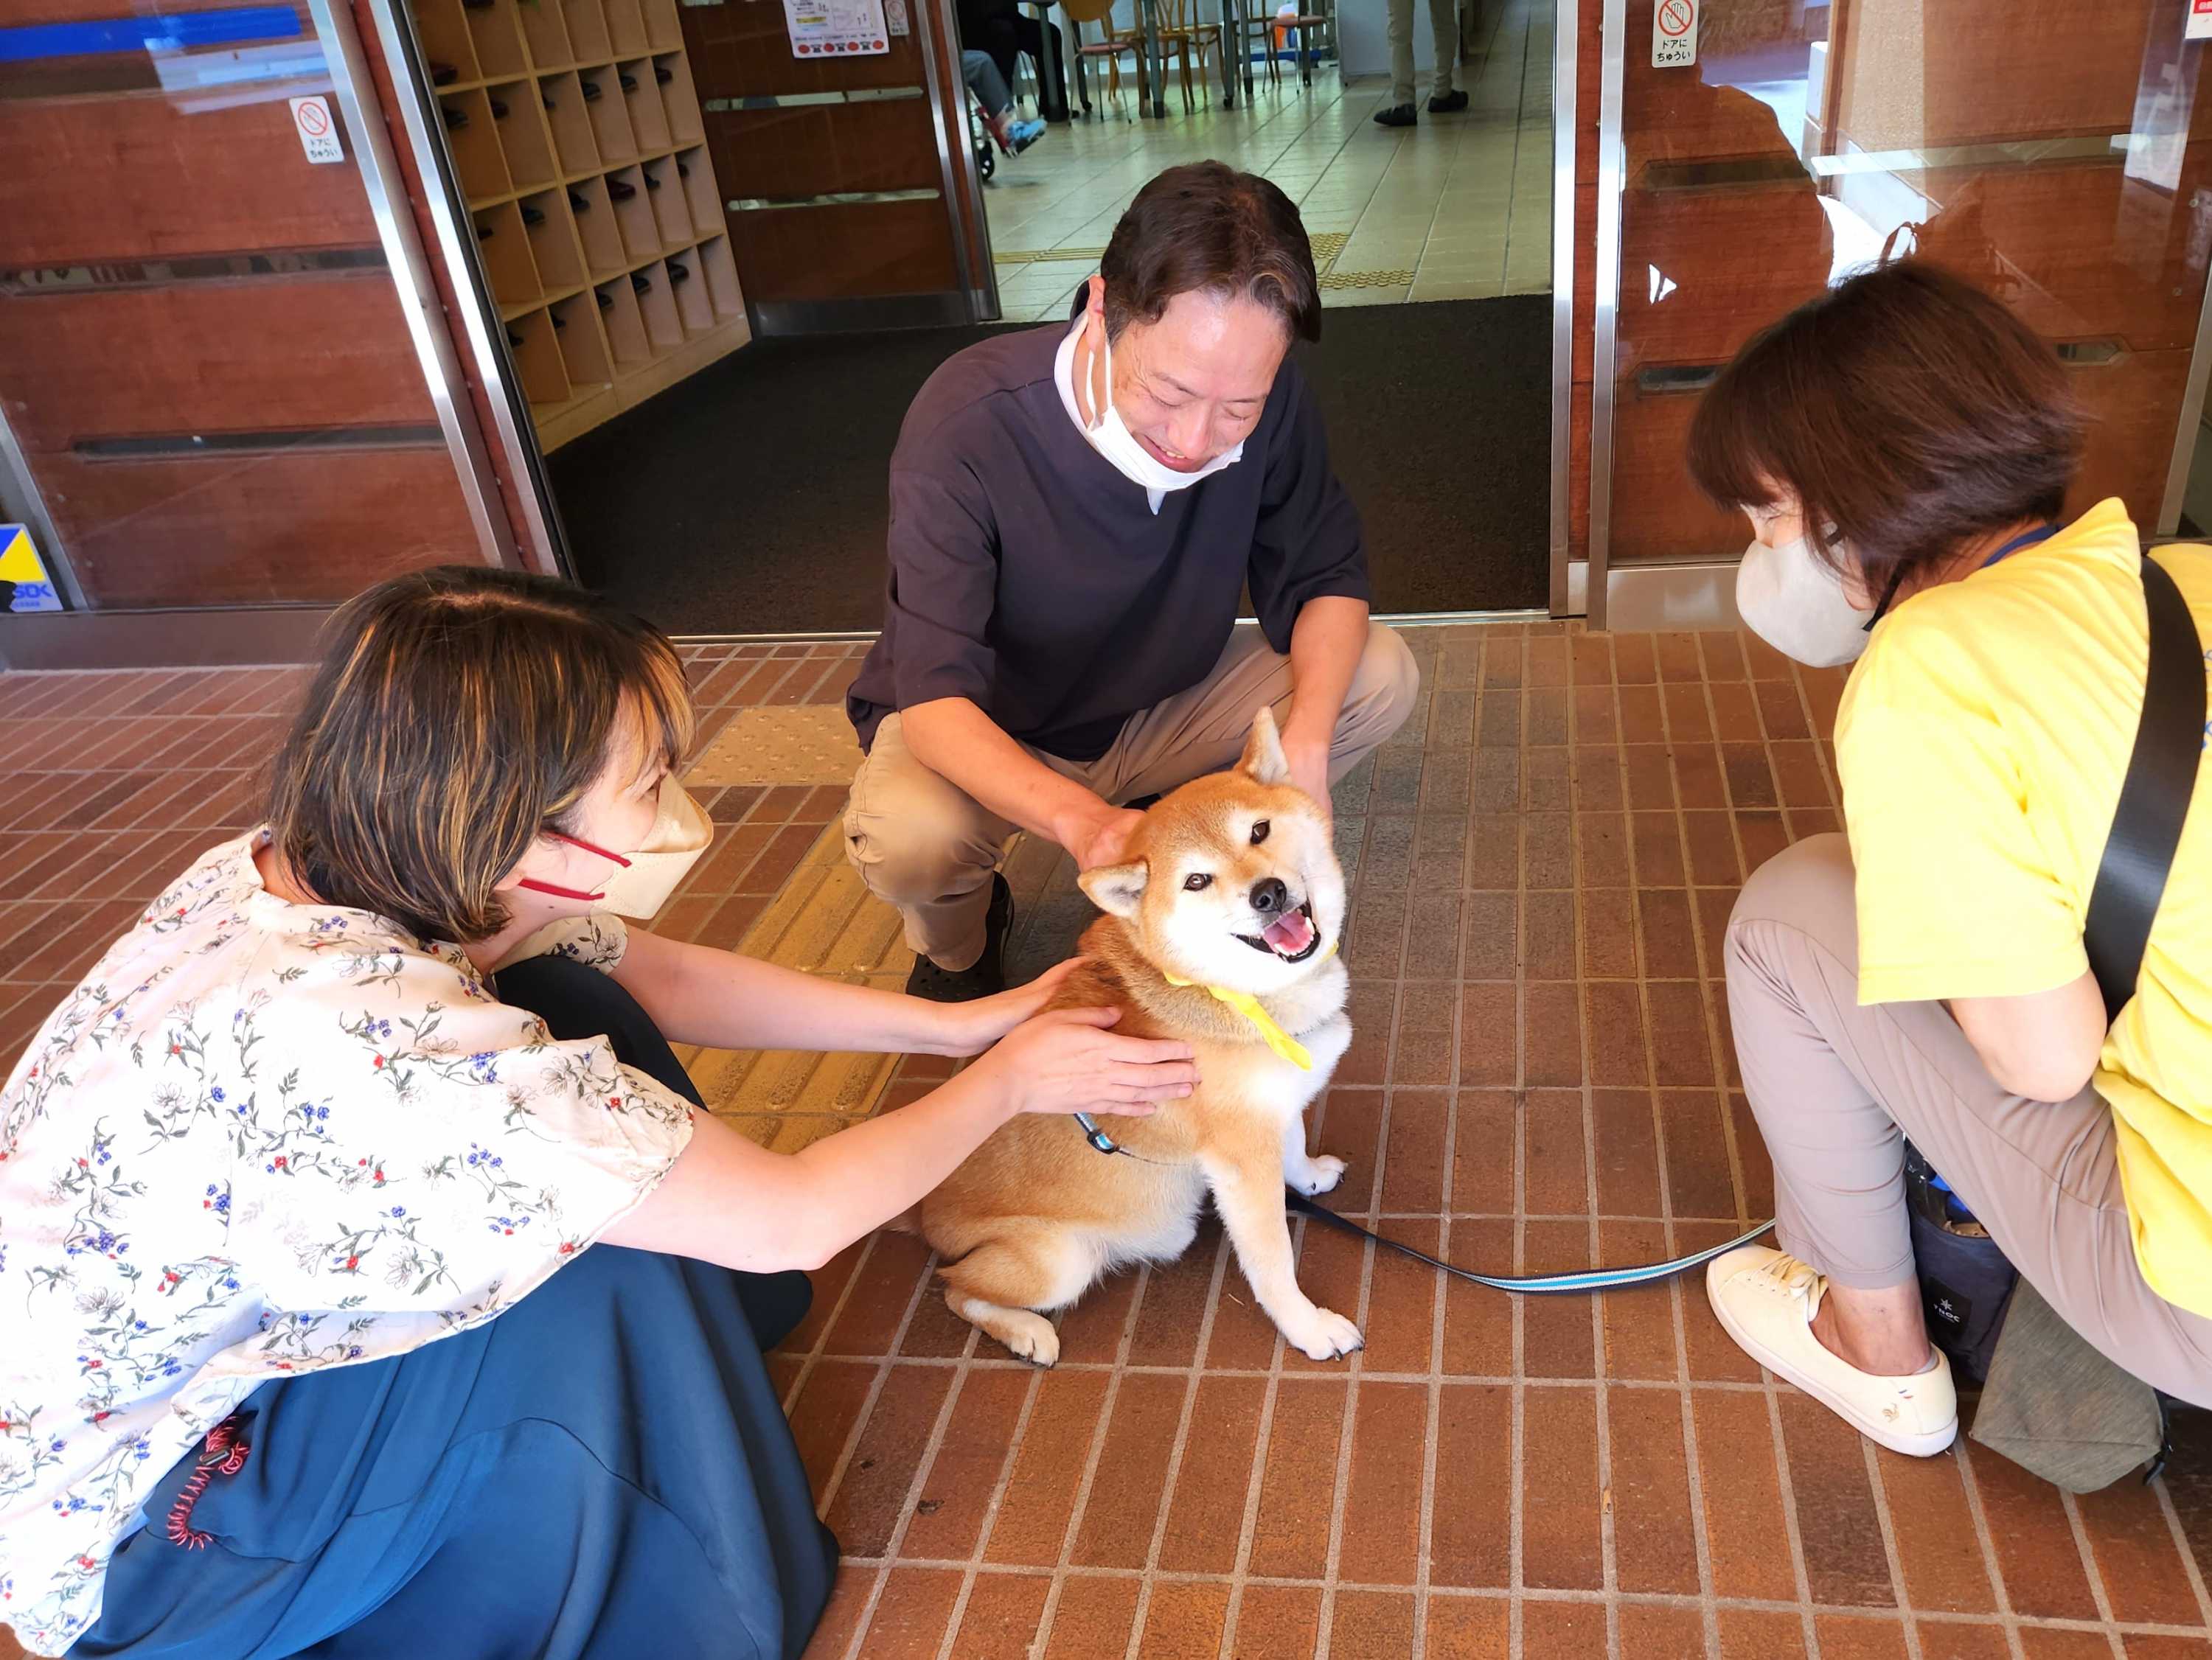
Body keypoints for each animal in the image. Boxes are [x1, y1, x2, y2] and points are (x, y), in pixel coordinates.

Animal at [907, 707, 1354, 1370]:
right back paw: (1026, 1332)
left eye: (1259, 831)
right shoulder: (1240, 1160)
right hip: (1059, 1259)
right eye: (1196, 880)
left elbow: (1293, 1142)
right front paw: (1308, 1326)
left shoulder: (1273, 1106)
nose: (1267, 893)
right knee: (957, 1289)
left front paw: (1308, 1175)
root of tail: (923, 1213)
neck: (1232, 995)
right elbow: (1274, 1264)